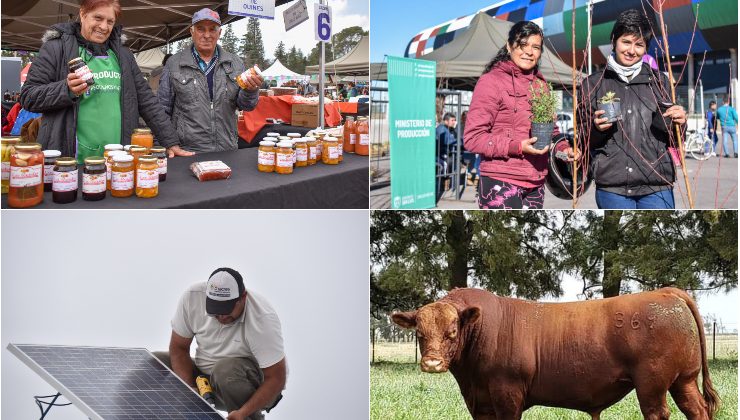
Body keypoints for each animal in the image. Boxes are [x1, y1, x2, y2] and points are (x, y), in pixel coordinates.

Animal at [394, 288, 716, 418]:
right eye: (419, 333)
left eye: (452, 331)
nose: (432, 363)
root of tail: (665, 292)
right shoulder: (481, 404)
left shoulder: (508, 394)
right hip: (683, 380)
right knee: (697, 409)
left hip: (652, 383)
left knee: (658, 412)